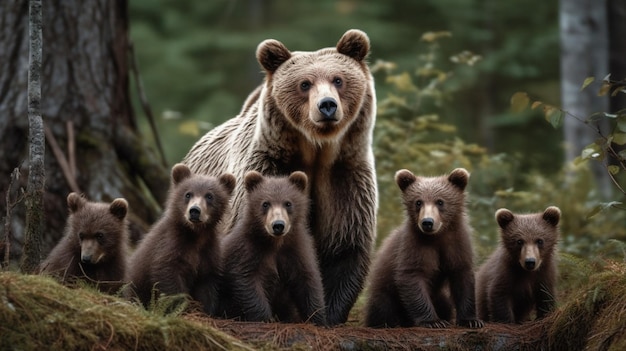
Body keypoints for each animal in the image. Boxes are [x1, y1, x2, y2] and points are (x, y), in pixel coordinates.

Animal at [124, 162, 234, 314]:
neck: (195, 235)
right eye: (188, 194)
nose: (195, 211)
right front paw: (180, 307)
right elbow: (168, 276)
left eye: (209, 196)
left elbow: (207, 285)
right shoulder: (170, 245)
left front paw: (205, 309)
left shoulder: (208, 253)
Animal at [219, 172, 326, 326]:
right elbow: (248, 283)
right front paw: (265, 318)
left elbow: (308, 281)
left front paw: (319, 318)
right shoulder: (247, 251)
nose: (278, 225)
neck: (276, 243)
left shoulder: (296, 251)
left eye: (288, 203)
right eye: (265, 203)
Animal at [360, 169, 482, 328]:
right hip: (385, 291)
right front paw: (433, 321)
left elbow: (462, 276)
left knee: (445, 304)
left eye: (440, 201)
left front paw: (471, 320)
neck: (437, 236)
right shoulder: (414, 246)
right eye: (418, 202)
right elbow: (412, 276)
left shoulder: (457, 244)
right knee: (383, 308)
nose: (427, 222)